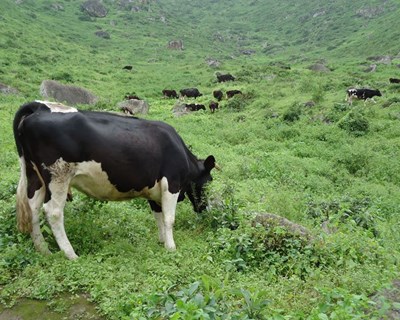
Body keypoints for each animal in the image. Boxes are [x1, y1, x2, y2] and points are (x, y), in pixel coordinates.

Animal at [13, 101, 219, 258]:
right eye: (208, 182)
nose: (206, 209)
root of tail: (40, 106)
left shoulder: (154, 189)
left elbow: (158, 216)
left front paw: (161, 241)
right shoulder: (172, 183)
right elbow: (169, 219)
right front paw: (171, 247)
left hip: (34, 176)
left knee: (33, 209)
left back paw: (44, 250)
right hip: (58, 176)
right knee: (53, 212)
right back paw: (71, 254)